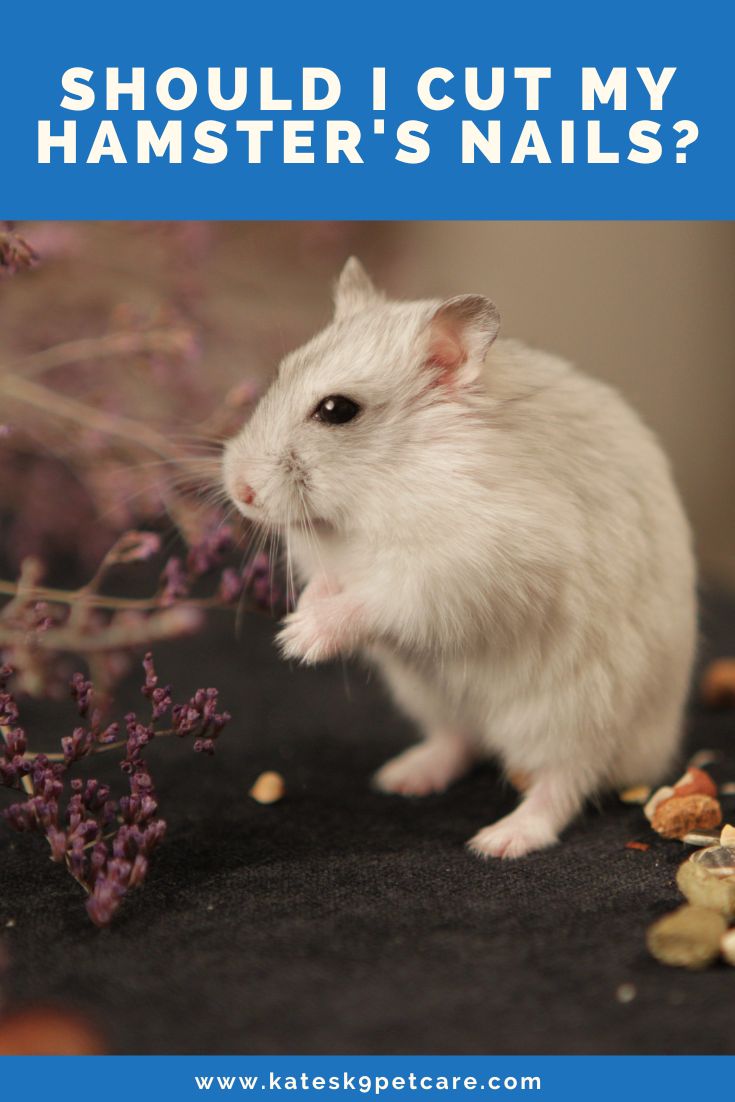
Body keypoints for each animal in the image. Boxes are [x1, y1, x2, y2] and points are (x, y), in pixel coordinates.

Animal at [222, 260, 696, 859]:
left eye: (337, 410)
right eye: (280, 373)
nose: (239, 490)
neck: (373, 490)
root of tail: (653, 752)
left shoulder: (461, 569)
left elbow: (374, 599)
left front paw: (297, 641)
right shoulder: (336, 565)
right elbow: (328, 587)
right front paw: (297, 621)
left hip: (574, 717)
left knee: (564, 784)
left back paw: (498, 841)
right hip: (432, 698)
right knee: (460, 741)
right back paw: (401, 778)